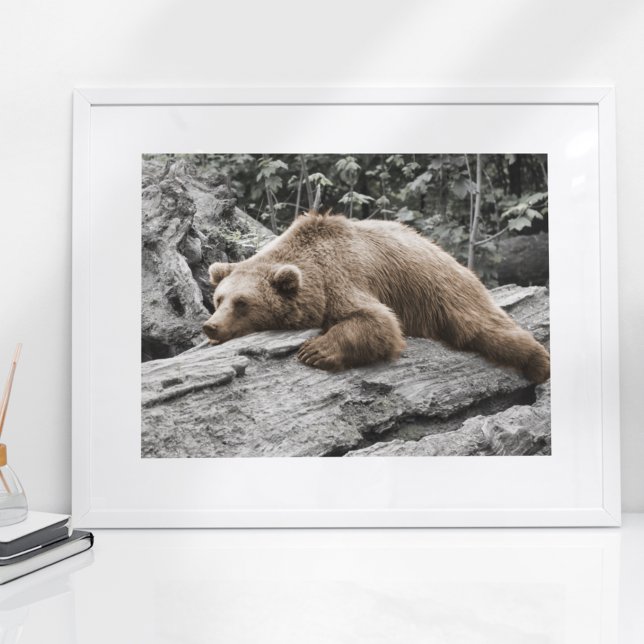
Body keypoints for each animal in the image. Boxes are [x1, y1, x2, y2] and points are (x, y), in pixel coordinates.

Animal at [202, 212, 550, 383]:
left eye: (242, 303)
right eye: (219, 299)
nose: (211, 327)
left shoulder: (342, 278)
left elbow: (377, 321)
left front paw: (314, 351)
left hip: (442, 290)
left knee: (484, 327)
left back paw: (538, 363)